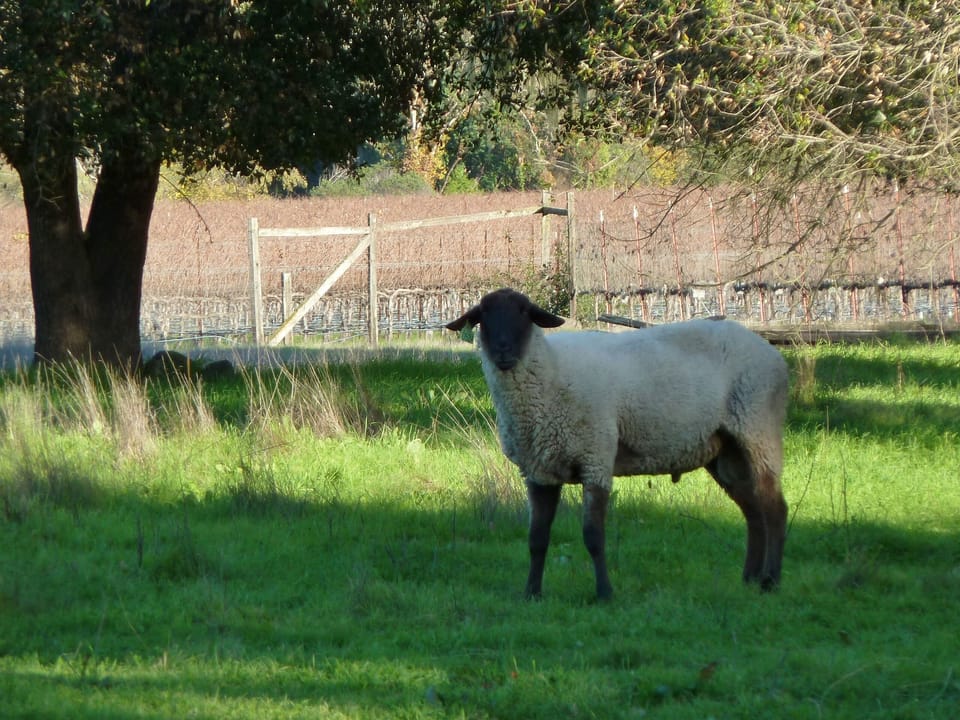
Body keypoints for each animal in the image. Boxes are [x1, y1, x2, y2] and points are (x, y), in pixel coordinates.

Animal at [446, 287, 789, 600]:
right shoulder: (540, 470)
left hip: (758, 428)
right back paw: (749, 579)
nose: (503, 351)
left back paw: (770, 581)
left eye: (524, 313)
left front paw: (604, 593)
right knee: (754, 512)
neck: (550, 372)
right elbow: (537, 538)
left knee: (775, 509)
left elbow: (593, 536)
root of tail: (773, 354)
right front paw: (532, 593)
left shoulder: (595, 457)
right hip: (726, 452)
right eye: (482, 316)